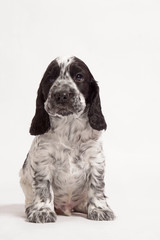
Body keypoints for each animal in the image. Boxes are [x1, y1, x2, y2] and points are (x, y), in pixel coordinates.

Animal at [20, 56, 114, 223]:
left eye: (79, 76)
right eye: (50, 78)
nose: (61, 94)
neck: (68, 124)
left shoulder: (95, 159)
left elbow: (97, 186)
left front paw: (99, 209)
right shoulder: (43, 160)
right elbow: (43, 188)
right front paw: (42, 211)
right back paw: (31, 208)